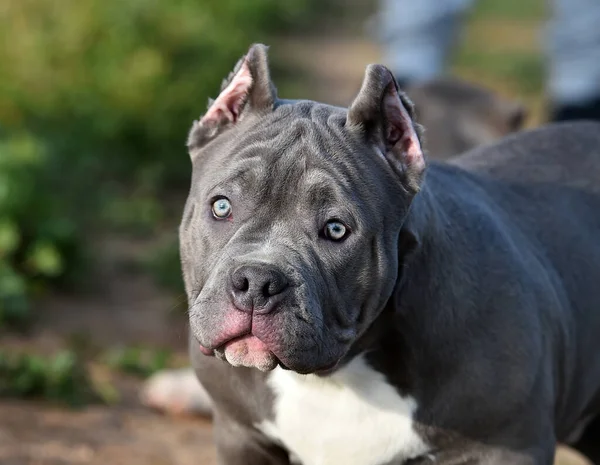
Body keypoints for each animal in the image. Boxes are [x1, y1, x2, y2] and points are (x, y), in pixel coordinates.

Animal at [177, 44, 600, 464]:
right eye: (221, 207)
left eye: (336, 229)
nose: (257, 282)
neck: (335, 378)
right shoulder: (241, 434)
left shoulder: (507, 447)